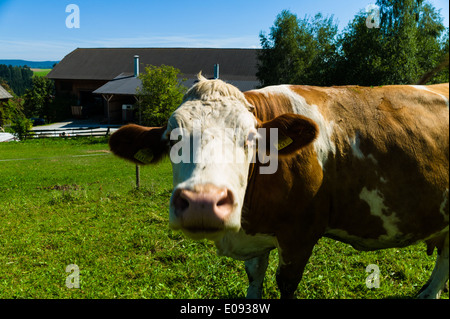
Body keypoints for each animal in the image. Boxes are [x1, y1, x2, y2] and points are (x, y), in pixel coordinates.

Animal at [108, 74, 446, 300]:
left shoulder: (300, 237)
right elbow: (255, 277)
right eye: (172, 140)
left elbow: (285, 284)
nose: (203, 203)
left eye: (250, 138)